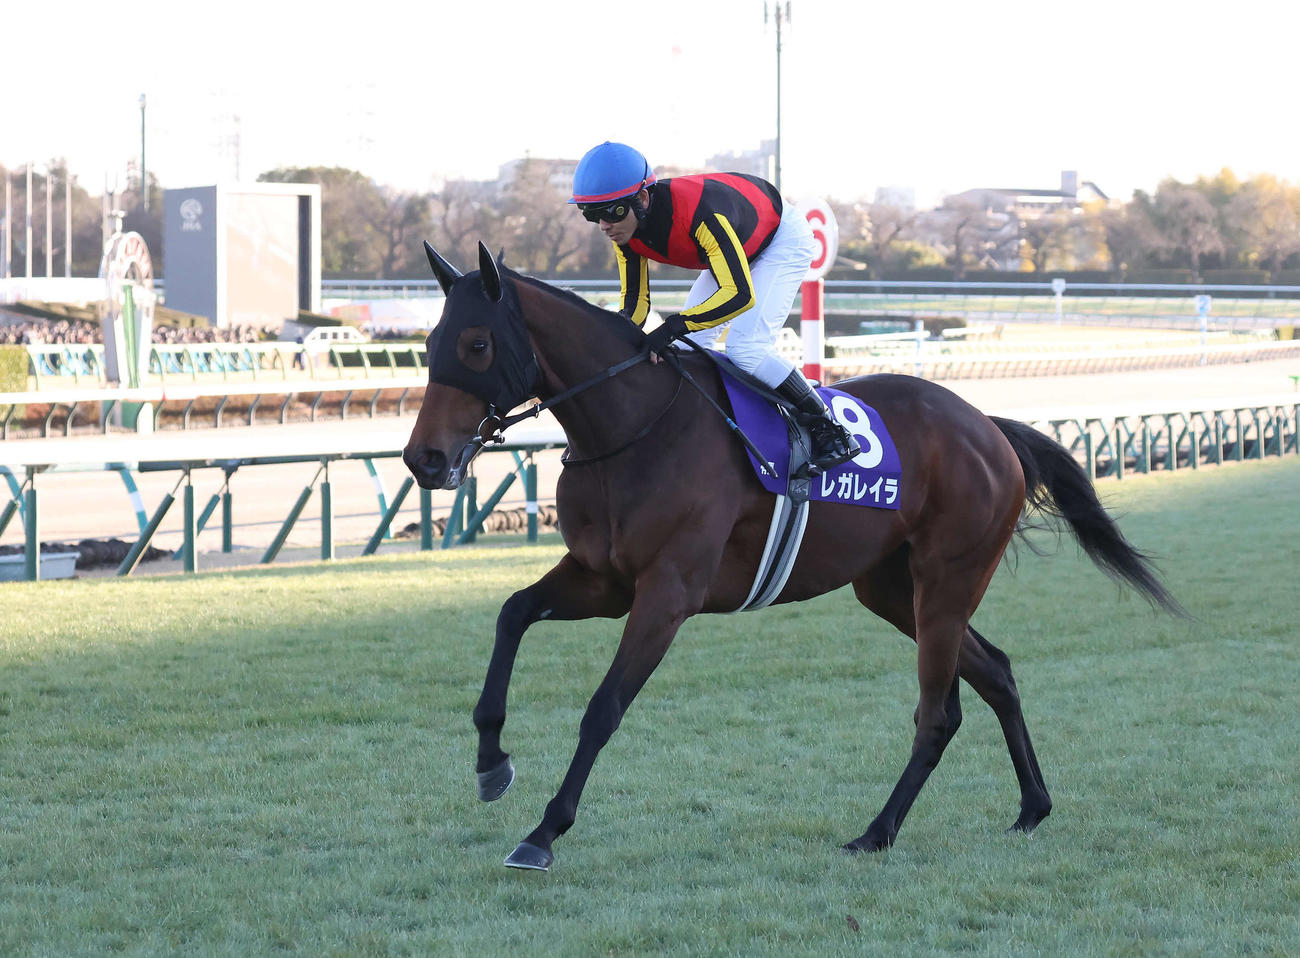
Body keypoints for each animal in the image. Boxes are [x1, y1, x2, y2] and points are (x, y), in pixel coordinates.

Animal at [403, 241, 1181, 872]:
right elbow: (511, 614)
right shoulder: (603, 579)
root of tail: (988, 426)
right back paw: (1031, 807)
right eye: (431, 339)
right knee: (996, 672)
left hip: (948, 579)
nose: (424, 459)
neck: (631, 427)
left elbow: (603, 707)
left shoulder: (668, 593)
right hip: (892, 590)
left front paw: (543, 832)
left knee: (938, 713)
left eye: (476, 345)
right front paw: (490, 761)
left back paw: (877, 831)